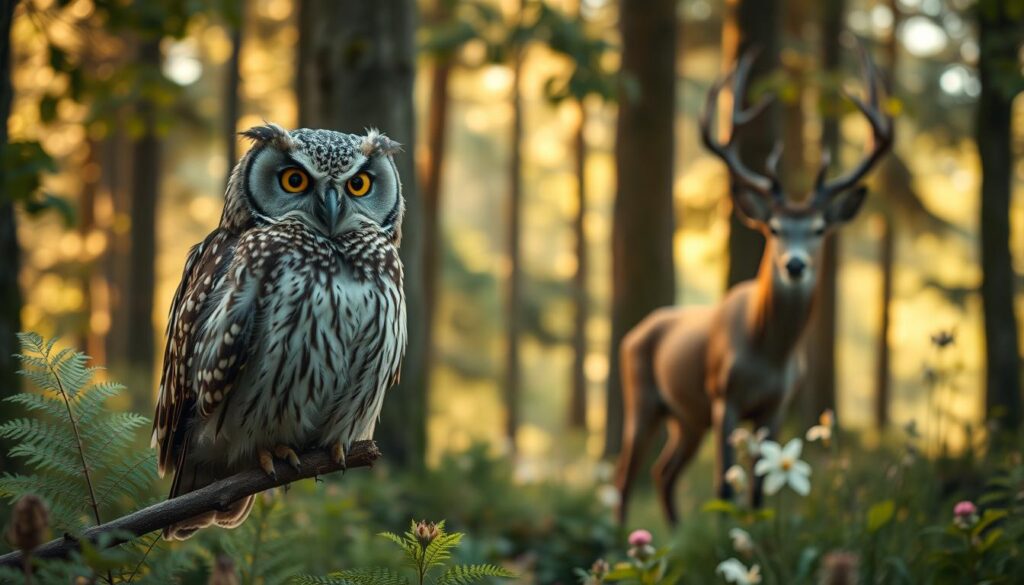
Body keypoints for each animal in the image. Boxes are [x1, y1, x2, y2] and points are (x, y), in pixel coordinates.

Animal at [614, 45, 892, 526]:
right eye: (774, 228)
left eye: (819, 229)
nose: (795, 265)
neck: (768, 353)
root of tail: (637, 331)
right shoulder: (724, 395)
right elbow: (725, 485)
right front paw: (726, 536)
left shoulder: (777, 406)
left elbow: (760, 490)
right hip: (643, 398)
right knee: (625, 474)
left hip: (687, 418)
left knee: (662, 472)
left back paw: (671, 533)